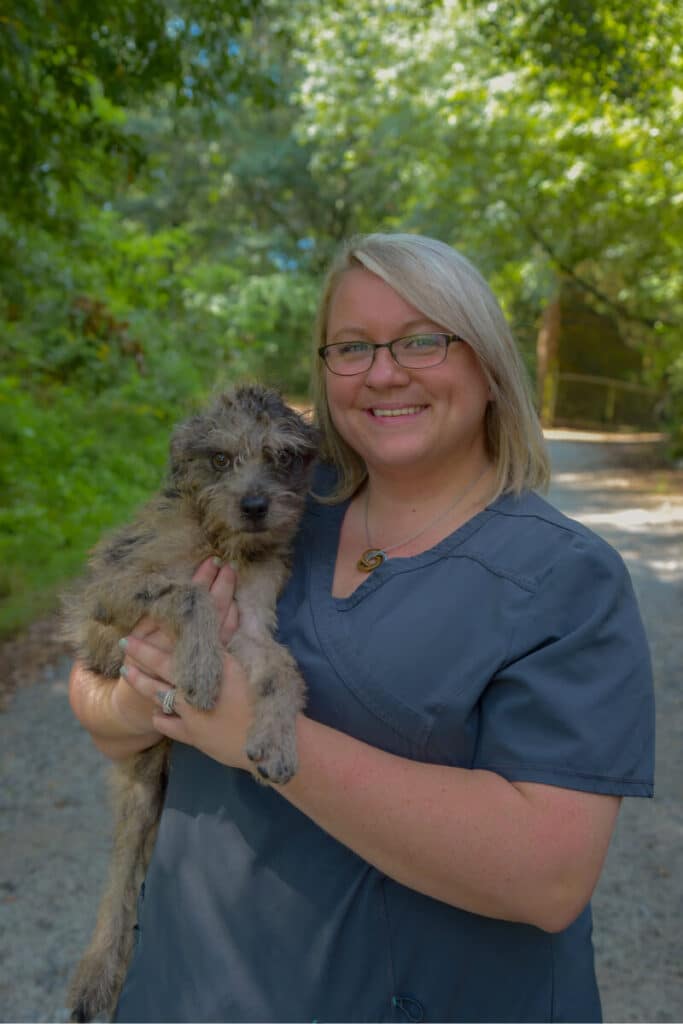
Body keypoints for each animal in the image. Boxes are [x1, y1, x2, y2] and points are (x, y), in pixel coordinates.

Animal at [61, 385, 317, 1024]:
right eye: (221, 458)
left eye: (281, 456)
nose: (255, 506)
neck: (223, 541)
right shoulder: (111, 594)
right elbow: (190, 592)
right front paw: (200, 668)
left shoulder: (250, 624)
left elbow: (281, 670)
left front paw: (275, 741)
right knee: (119, 880)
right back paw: (96, 974)